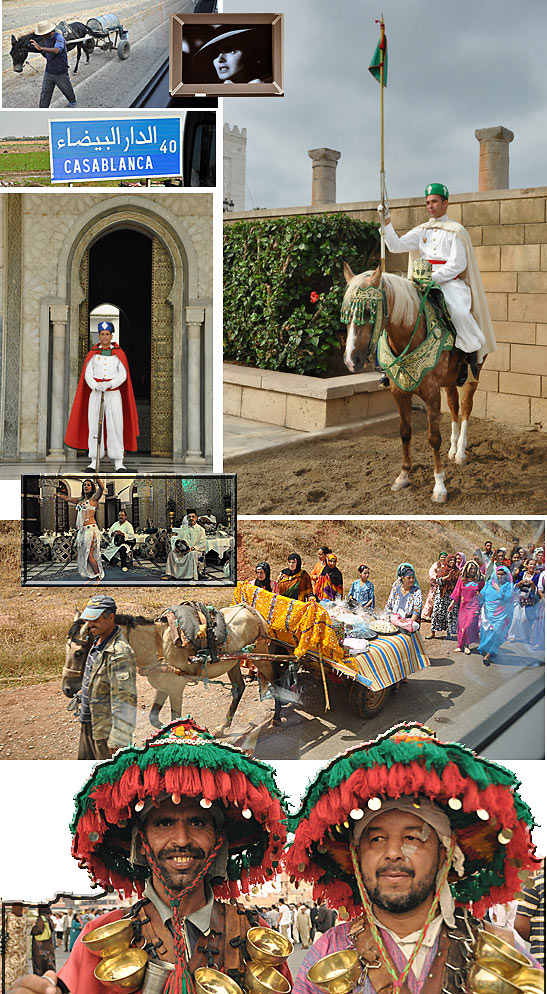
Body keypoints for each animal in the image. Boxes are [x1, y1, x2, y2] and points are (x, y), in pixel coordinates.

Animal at [344, 262, 482, 500]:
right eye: (345, 313)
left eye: (369, 311)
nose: (351, 361)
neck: (410, 334)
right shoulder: (399, 392)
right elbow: (405, 432)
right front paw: (403, 476)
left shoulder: (432, 393)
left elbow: (433, 438)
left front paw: (439, 487)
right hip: (449, 381)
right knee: (454, 407)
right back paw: (453, 449)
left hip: (473, 375)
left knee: (465, 408)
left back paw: (461, 453)